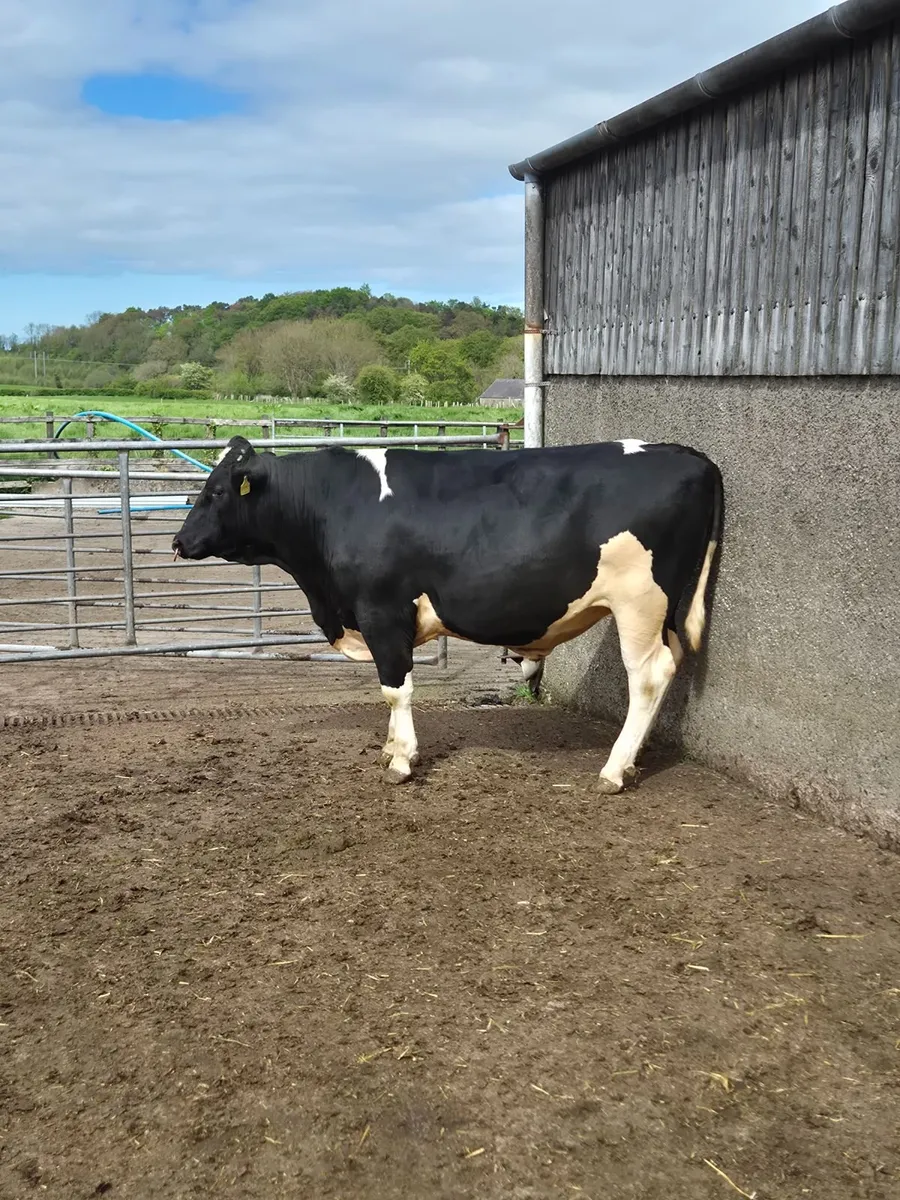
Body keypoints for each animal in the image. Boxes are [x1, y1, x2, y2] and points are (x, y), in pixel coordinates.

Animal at [172, 436, 723, 792]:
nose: (178, 542)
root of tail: (689, 455)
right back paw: (634, 758)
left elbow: (395, 688)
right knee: (670, 662)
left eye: (216, 492)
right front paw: (391, 747)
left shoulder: (382, 611)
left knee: (647, 675)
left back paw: (613, 769)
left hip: (640, 601)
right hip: (663, 609)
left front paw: (401, 761)